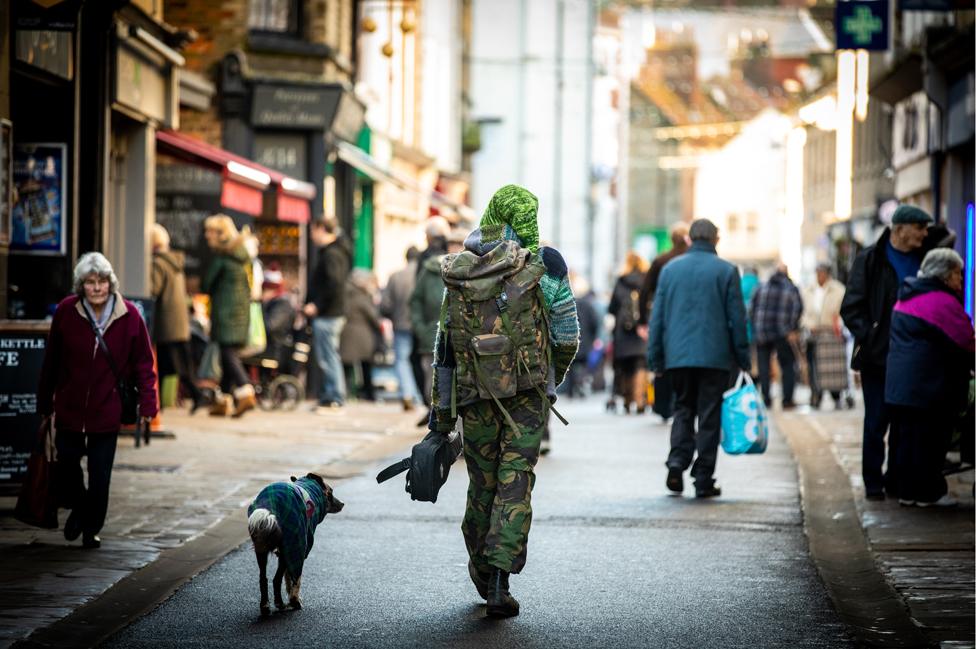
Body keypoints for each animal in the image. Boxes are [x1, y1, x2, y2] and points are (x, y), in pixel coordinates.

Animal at [246, 470, 346, 612]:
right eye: (330, 492)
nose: (342, 503)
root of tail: (270, 507)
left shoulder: (288, 550)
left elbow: (289, 577)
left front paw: (292, 599)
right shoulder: (298, 546)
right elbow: (295, 578)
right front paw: (295, 601)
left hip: (262, 548)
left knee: (263, 578)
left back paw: (265, 606)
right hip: (288, 545)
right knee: (276, 579)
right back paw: (279, 604)